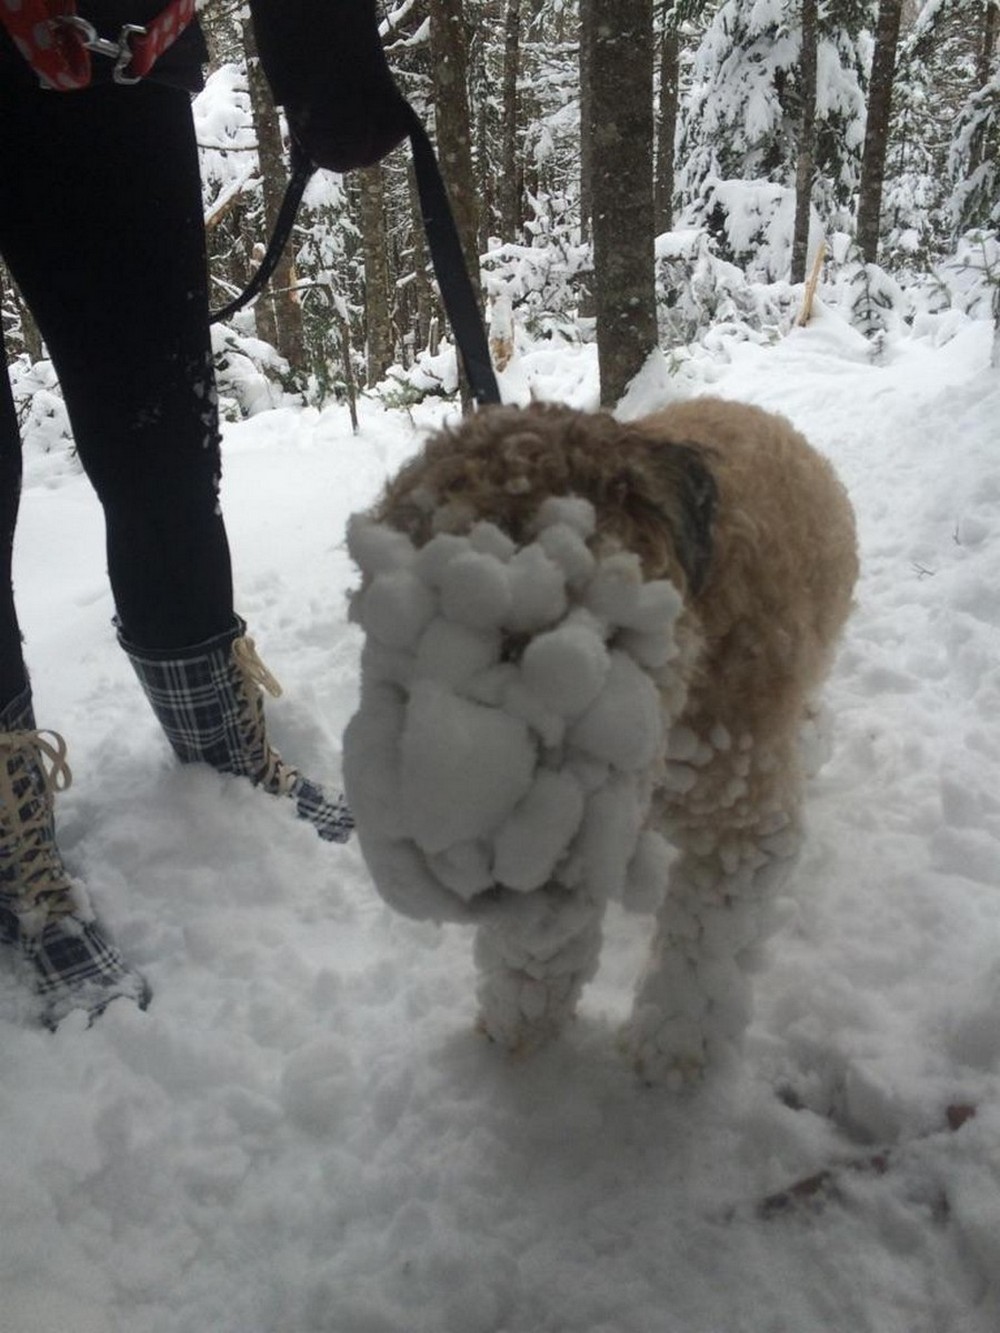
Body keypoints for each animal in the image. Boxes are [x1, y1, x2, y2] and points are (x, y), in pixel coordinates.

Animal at [346, 394, 864, 1082]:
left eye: (558, 639)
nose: (489, 875)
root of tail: (749, 408)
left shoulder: (744, 826)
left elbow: (705, 945)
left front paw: (670, 1047)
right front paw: (521, 1019)